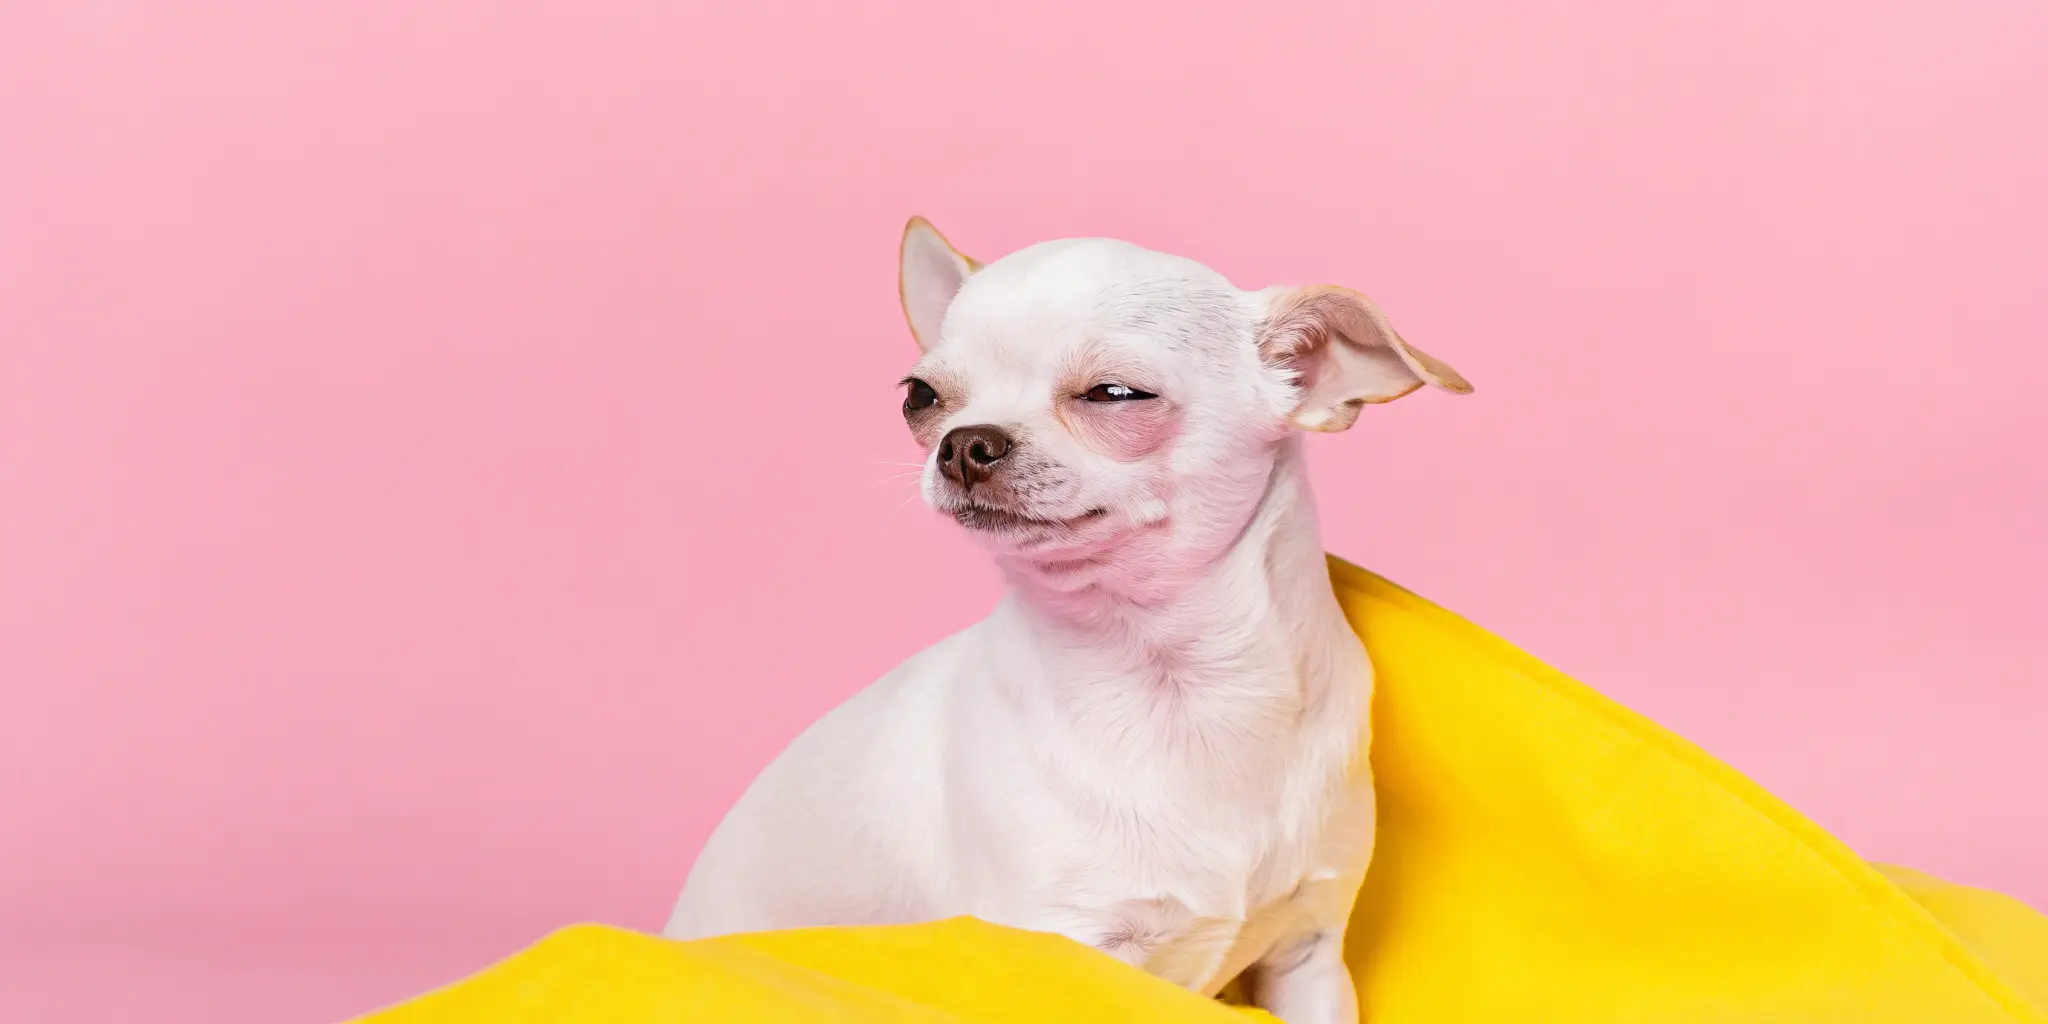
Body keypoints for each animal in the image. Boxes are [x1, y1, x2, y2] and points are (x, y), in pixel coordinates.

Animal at [671, 220, 1474, 1019]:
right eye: (920, 397)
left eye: (1113, 394)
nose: (964, 441)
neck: (1178, 686)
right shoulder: (1064, 951)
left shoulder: (1308, 960)